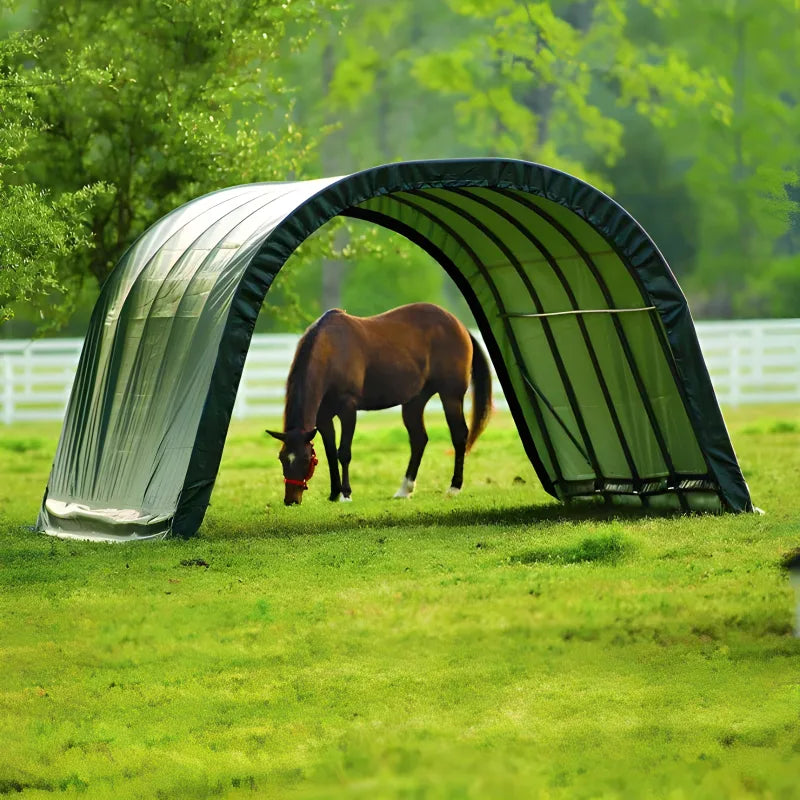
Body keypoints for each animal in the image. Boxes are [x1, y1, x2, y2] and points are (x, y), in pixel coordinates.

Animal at [266, 302, 493, 506]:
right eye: (282, 458)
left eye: (305, 459)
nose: (291, 500)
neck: (331, 350)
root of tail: (460, 326)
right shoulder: (323, 418)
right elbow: (330, 453)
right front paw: (333, 493)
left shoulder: (348, 409)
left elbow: (343, 452)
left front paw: (345, 494)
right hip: (414, 401)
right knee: (419, 439)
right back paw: (404, 490)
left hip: (450, 396)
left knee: (459, 435)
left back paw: (454, 487)